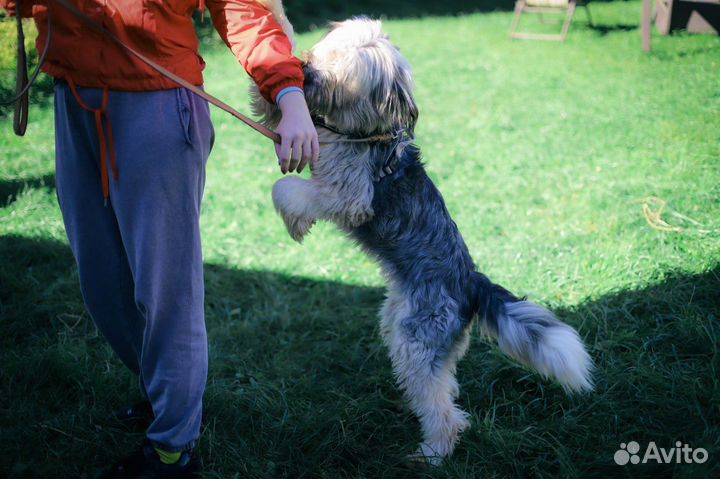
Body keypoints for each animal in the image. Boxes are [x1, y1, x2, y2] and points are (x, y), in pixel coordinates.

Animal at [250, 13, 592, 464]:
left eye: (347, 71)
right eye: (328, 50)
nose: (307, 70)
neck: (360, 131)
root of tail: (471, 283)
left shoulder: (348, 195)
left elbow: (287, 188)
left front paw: (295, 221)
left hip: (419, 339)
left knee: (442, 409)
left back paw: (433, 452)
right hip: (407, 332)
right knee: (444, 393)